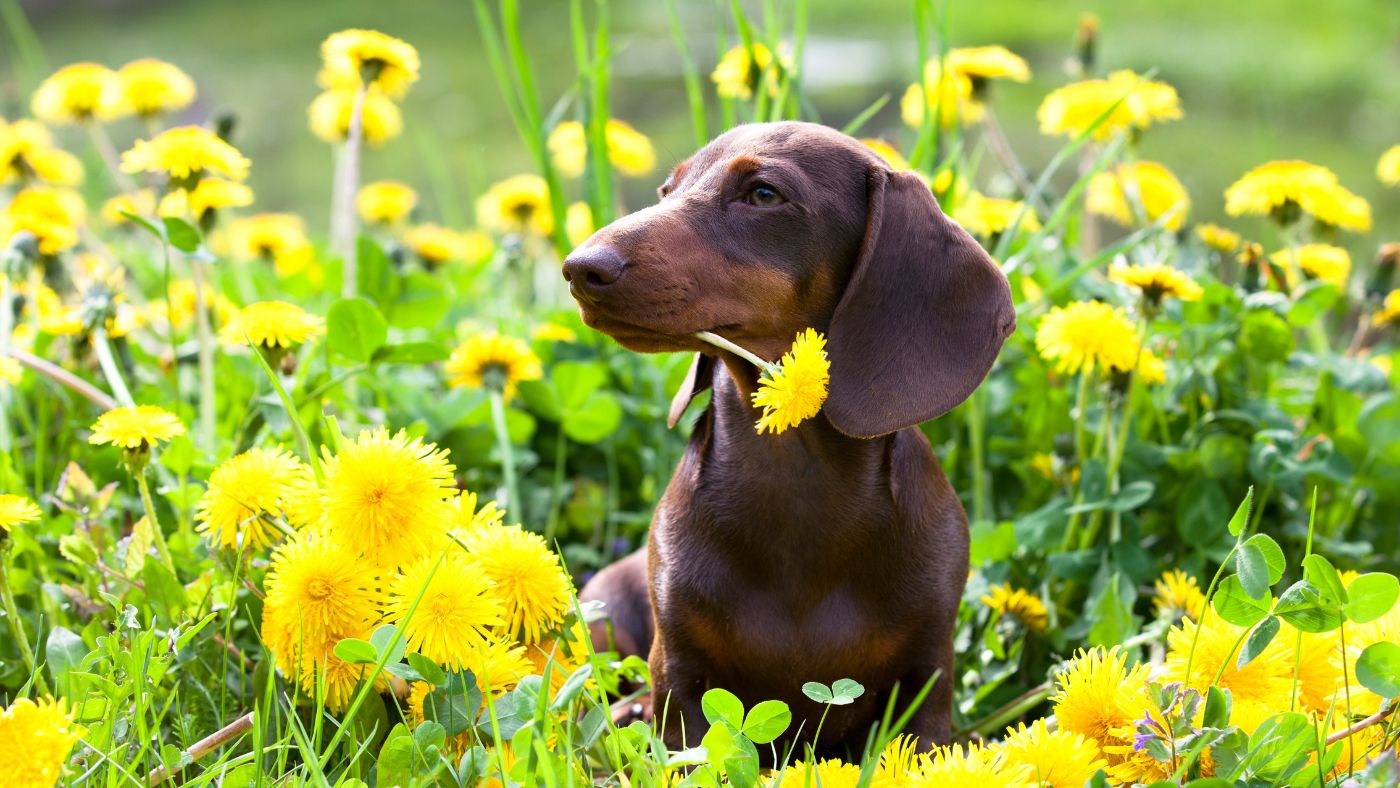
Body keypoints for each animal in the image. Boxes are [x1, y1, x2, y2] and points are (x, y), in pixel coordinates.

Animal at [562, 121, 1013, 750]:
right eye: (666, 190)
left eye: (764, 194)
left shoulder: (927, 676)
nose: (580, 268)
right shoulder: (677, 673)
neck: (793, 480)